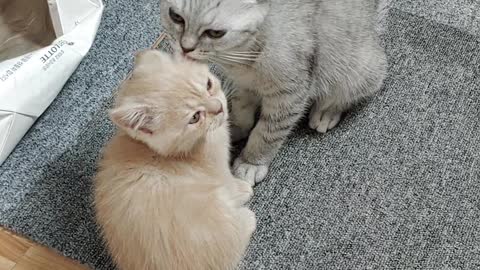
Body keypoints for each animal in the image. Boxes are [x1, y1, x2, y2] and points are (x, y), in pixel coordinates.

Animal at [95, 49, 256, 268]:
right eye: (195, 117)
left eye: (208, 84)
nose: (219, 107)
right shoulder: (217, 167)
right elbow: (228, 182)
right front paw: (242, 189)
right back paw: (247, 218)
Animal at [160, 0, 386, 186]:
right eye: (176, 16)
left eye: (215, 33)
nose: (185, 47)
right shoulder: (243, 84)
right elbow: (242, 110)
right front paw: (235, 129)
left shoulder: (290, 94)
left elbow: (266, 133)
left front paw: (251, 162)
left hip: (359, 71)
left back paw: (326, 112)